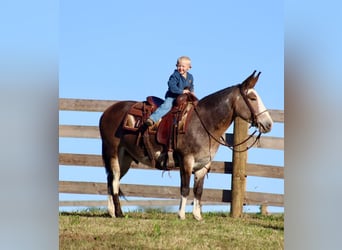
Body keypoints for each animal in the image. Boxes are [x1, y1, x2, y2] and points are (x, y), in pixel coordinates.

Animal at [99, 70, 272, 221]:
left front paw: (197, 216)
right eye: (252, 98)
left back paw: (112, 212)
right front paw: (181, 215)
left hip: (125, 158)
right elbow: (185, 188)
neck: (203, 123)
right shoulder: (186, 160)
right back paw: (119, 213)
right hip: (112, 151)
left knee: (111, 180)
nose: (269, 124)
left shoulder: (204, 164)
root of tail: (107, 112)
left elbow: (198, 190)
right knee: (114, 180)